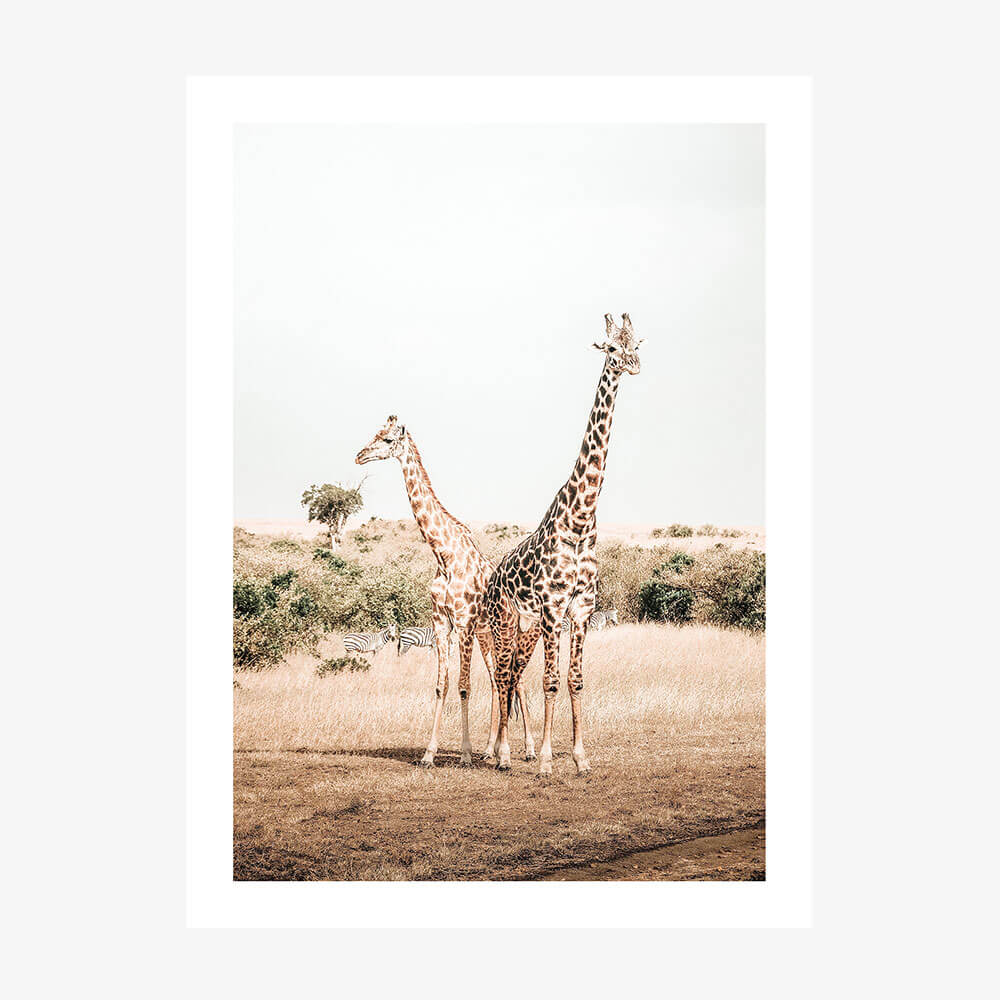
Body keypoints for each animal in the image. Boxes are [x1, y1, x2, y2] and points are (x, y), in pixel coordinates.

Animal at [355, 416, 535, 766]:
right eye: (374, 434)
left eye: (386, 440)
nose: (359, 456)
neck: (444, 554)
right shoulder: (442, 622)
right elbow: (442, 685)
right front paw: (429, 753)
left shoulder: (463, 622)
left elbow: (464, 686)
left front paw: (464, 754)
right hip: (487, 636)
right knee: (498, 680)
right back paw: (491, 751)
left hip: (507, 631)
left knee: (515, 681)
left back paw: (528, 750)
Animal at [484, 313, 642, 775]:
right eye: (611, 348)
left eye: (635, 343)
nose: (634, 363)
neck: (582, 517)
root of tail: (492, 576)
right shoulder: (555, 607)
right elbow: (551, 682)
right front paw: (546, 761)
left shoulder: (582, 608)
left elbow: (575, 681)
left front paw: (580, 757)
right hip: (504, 620)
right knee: (503, 676)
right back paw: (500, 755)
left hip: (526, 626)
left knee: (513, 677)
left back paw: (504, 750)